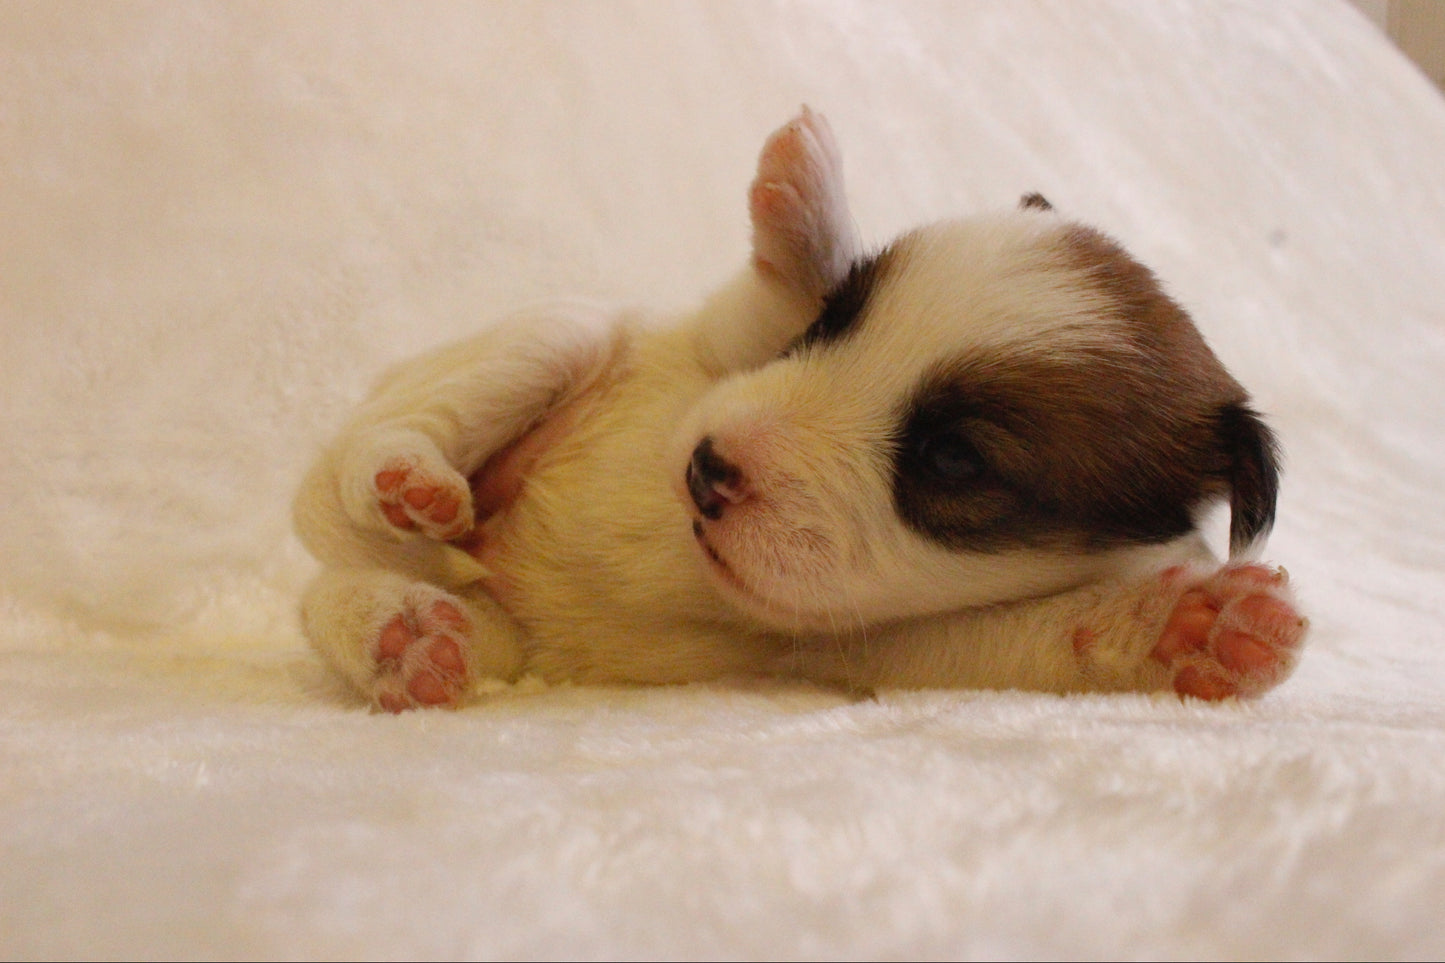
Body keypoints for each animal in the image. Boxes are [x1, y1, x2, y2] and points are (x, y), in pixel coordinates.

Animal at [293, 110, 1312, 711]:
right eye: (838, 319)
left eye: (952, 460)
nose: (702, 469)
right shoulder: (718, 350)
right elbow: (760, 308)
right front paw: (808, 200)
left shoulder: (875, 656)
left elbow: (1047, 635)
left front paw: (1189, 628)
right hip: (554, 341)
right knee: (356, 468)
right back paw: (405, 479)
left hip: (505, 631)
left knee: (343, 600)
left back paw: (402, 633)